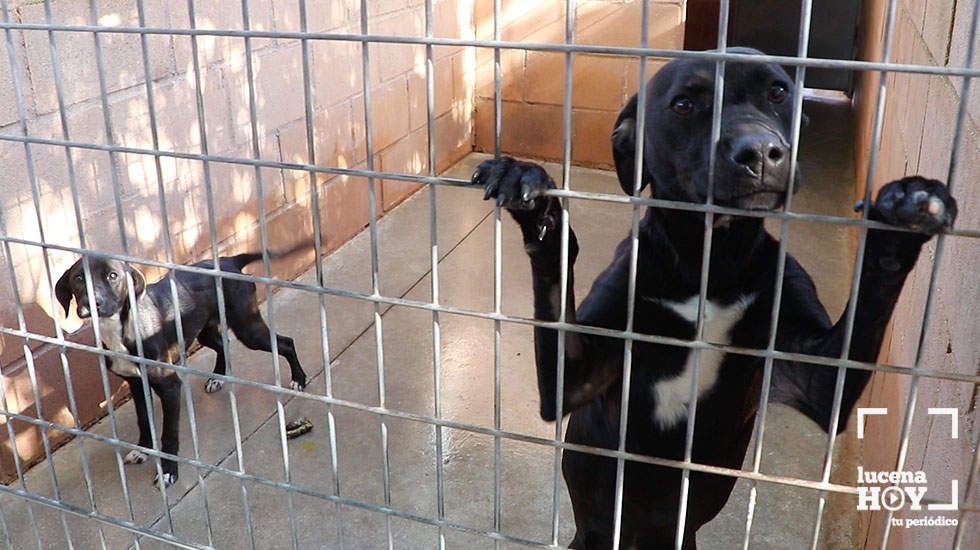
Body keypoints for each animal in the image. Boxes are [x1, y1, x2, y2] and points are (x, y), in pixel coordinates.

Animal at [55, 250, 308, 488]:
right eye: (78, 278)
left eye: (113, 276)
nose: (92, 303)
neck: (121, 327)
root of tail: (227, 260)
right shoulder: (136, 384)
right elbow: (143, 420)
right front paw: (143, 450)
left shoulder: (170, 387)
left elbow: (169, 435)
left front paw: (168, 472)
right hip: (204, 331)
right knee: (223, 343)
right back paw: (217, 377)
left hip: (248, 328)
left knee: (286, 343)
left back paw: (299, 379)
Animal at [474, 49, 956, 548]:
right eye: (685, 105)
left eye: (778, 91)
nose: (760, 151)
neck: (711, 261)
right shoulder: (575, 379)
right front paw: (534, 199)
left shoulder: (820, 379)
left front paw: (904, 215)